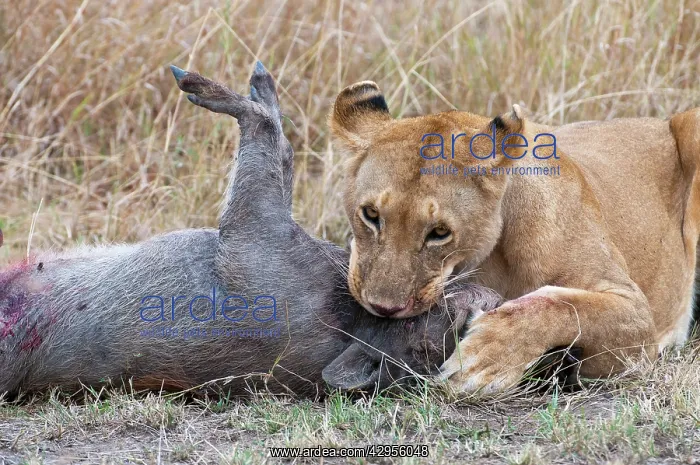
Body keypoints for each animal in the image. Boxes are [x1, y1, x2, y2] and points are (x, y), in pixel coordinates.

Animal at [329, 80, 700, 393]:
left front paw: (483, 360)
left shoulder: (637, 319)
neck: (488, 262)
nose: (383, 308)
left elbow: (563, 305)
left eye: (439, 233)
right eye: (371, 215)